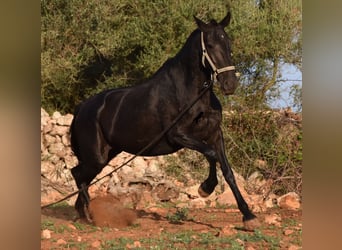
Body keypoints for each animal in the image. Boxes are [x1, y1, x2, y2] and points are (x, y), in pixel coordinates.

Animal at [71, 12, 260, 230]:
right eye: (211, 45)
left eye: (228, 43)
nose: (230, 84)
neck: (192, 95)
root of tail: (82, 107)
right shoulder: (179, 135)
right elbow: (212, 155)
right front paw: (205, 188)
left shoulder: (214, 134)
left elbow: (228, 171)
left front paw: (248, 216)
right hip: (96, 157)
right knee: (78, 175)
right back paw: (90, 215)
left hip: (106, 154)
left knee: (81, 176)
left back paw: (83, 213)